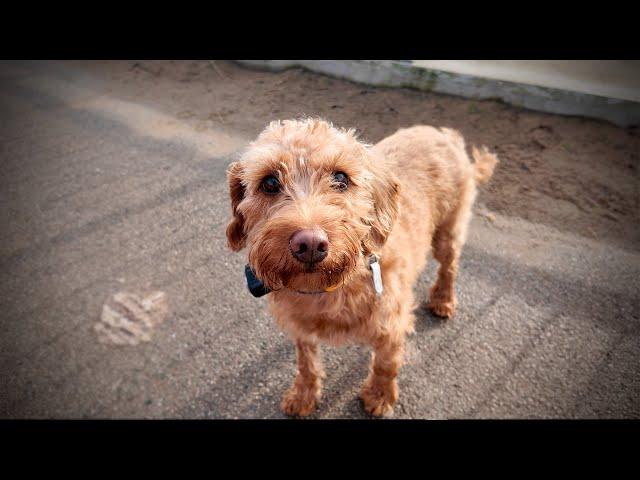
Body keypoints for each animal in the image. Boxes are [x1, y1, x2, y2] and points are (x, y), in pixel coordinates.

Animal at [226, 117, 500, 416]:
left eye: (341, 178)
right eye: (270, 182)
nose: (310, 243)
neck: (329, 289)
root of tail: (444, 134)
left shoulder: (391, 323)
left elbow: (385, 363)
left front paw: (379, 396)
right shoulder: (301, 328)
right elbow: (306, 363)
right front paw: (303, 395)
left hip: (448, 232)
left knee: (449, 267)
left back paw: (443, 299)